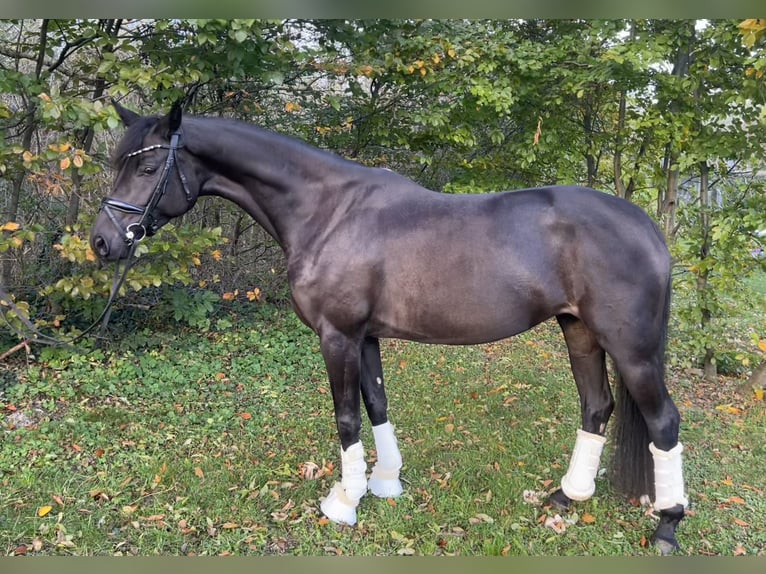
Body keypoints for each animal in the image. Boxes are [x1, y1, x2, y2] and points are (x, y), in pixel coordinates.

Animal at [90, 101, 688, 556]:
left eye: (146, 170)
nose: (102, 242)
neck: (329, 213)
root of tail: (645, 227)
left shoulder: (337, 334)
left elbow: (347, 416)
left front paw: (345, 501)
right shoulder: (366, 335)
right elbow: (376, 403)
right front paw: (385, 482)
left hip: (632, 350)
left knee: (662, 422)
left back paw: (667, 525)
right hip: (578, 330)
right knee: (596, 406)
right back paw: (566, 497)